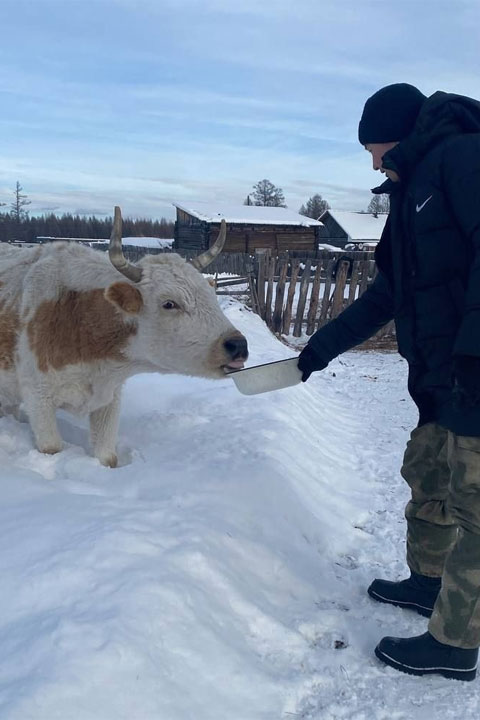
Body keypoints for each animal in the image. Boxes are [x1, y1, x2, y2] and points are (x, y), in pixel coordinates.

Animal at [0, 208, 248, 466]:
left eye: (211, 294)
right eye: (169, 303)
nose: (238, 344)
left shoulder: (109, 399)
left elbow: (106, 456)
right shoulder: (38, 397)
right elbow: (52, 448)